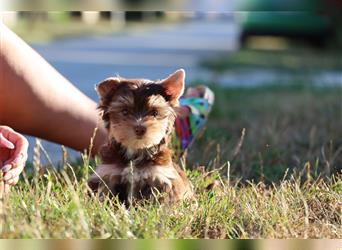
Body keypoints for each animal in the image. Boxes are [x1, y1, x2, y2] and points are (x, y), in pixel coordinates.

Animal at [89, 69, 192, 204]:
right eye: (125, 111)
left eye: (155, 113)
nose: (140, 128)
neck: (136, 151)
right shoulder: (108, 173)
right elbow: (105, 195)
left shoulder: (160, 176)